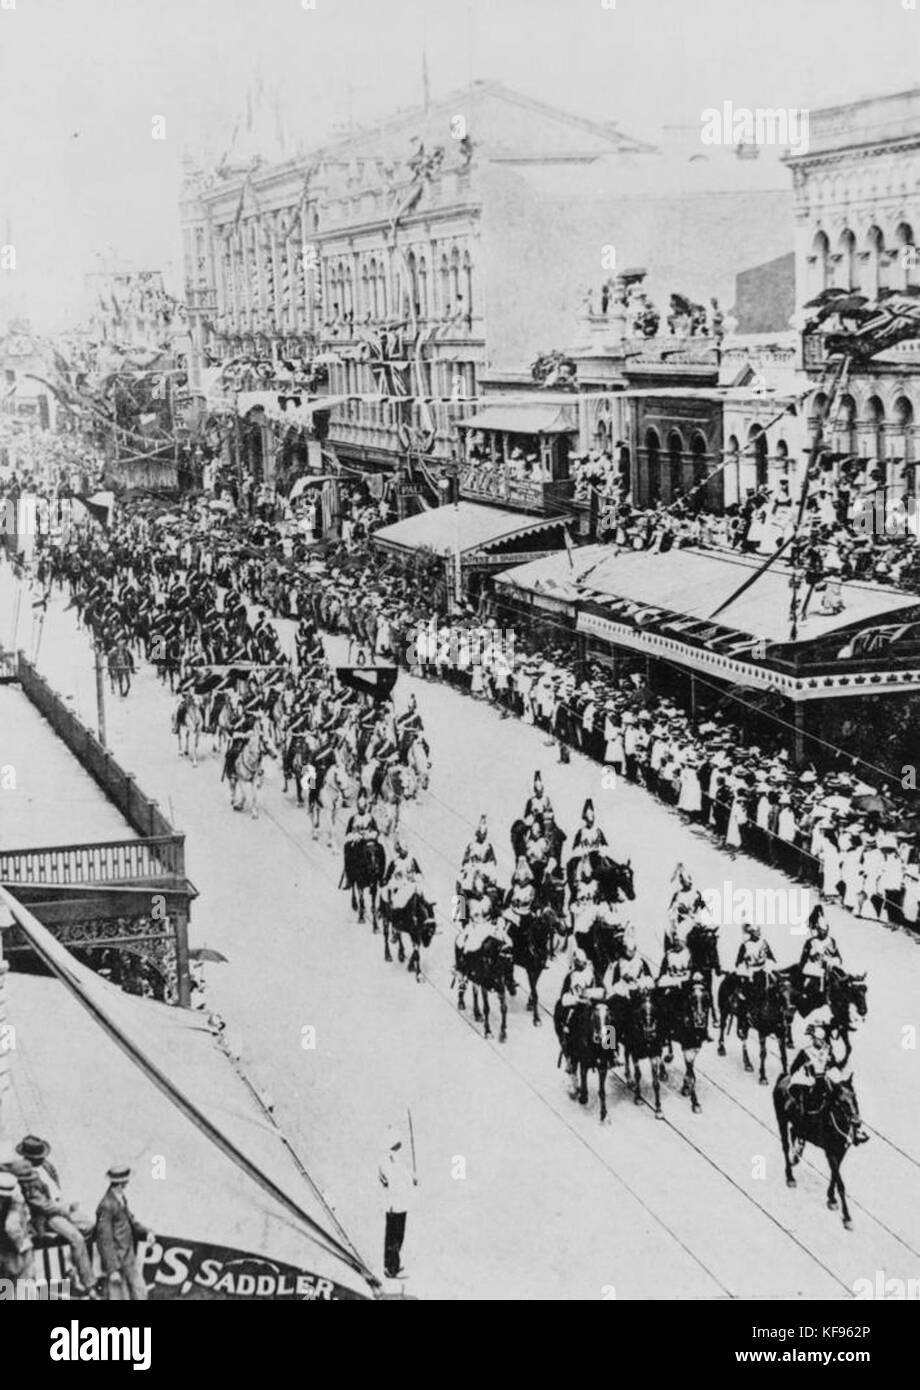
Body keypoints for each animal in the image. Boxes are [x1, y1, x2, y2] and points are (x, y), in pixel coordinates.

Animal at [772, 1073, 867, 1228]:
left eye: (854, 1096)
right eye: (840, 1102)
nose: (857, 1122)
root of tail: (784, 1077)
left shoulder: (841, 1153)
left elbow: (834, 1175)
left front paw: (831, 1198)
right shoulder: (830, 1153)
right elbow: (840, 1182)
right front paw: (847, 1217)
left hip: (798, 1125)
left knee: (794, 1133)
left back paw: (796, 1156)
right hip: (782, 1120)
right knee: (785, 1145)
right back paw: (790, 1176)